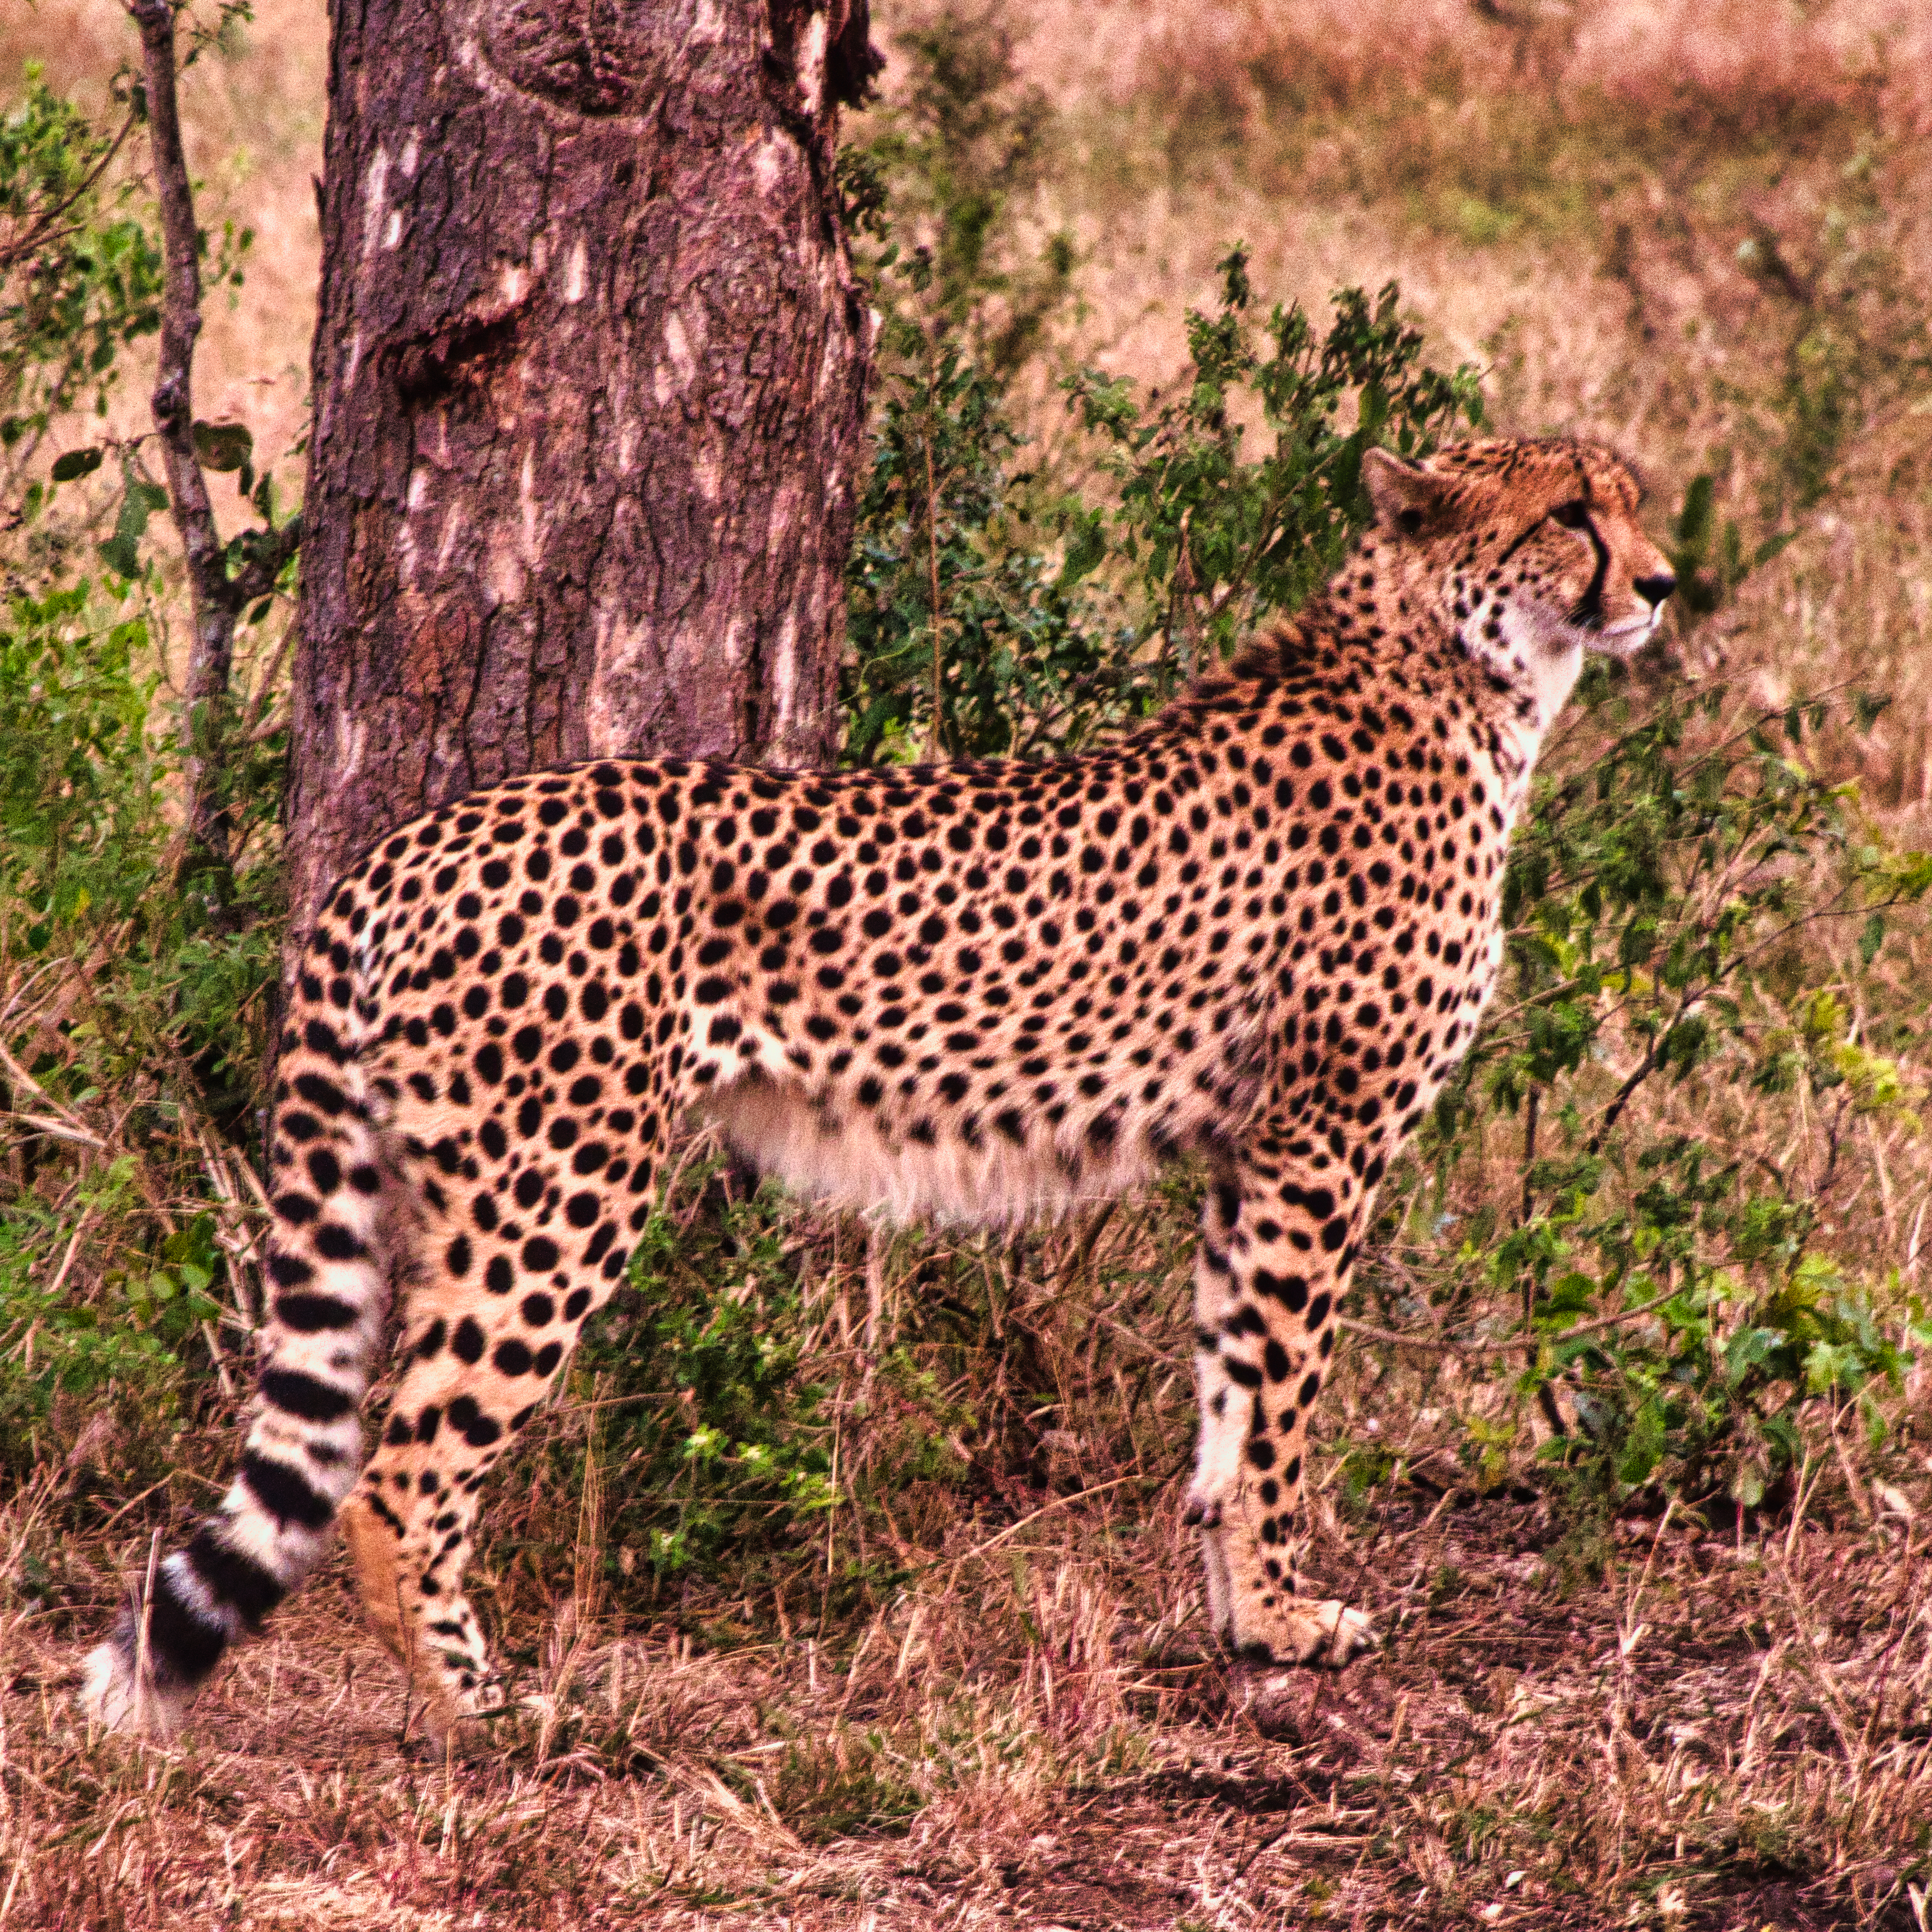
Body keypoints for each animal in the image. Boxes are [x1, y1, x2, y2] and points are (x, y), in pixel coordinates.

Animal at [82, 436, 1675, 1743]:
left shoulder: (1248, 1158)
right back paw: (483, 1708)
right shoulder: (1317, 1146)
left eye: (1634, 495)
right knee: (402, 1467)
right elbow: (1283, 1401)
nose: (1663, 584)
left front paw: (1248, 1623)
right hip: (560, 1194)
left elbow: (1229, 1410)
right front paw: (1290, 1617)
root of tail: (415, 838)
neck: (1460, 677)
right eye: (1570, 513)